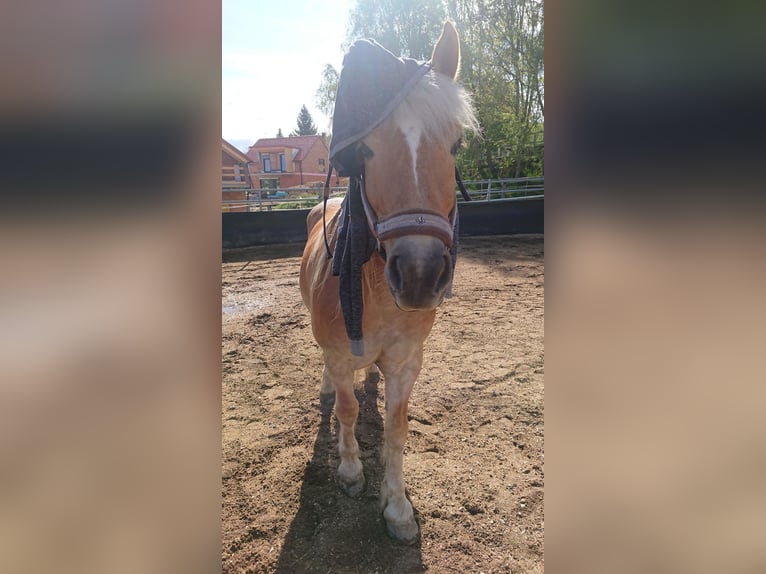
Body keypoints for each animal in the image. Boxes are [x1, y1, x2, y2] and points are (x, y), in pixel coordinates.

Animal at [302, 22, 476, 544]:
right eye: (365, 149)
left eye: (456, 144)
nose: (420, 274)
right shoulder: (340, 354)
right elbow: (346, 411)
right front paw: (350, 471)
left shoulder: (406, 362)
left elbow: (397, 429)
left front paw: (398, 507)